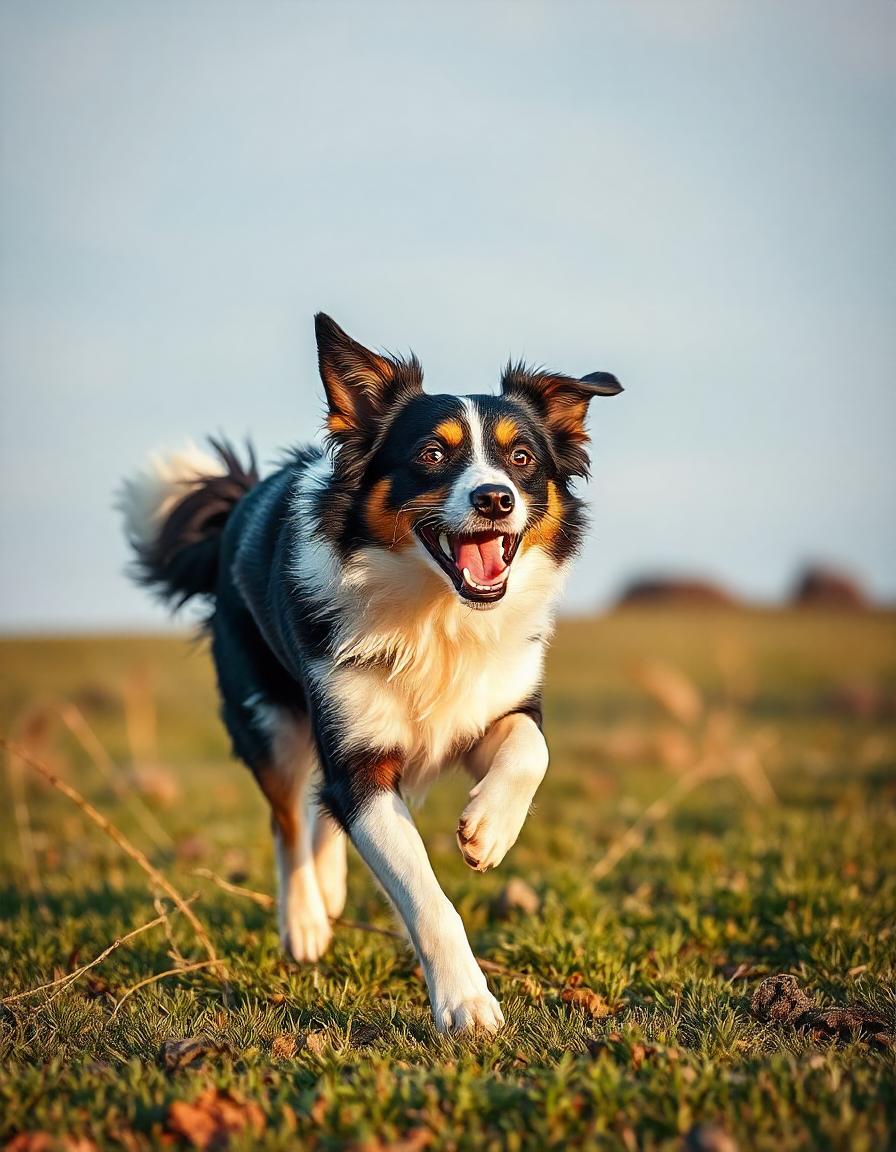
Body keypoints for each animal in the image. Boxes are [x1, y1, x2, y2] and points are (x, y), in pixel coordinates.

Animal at [118, 315, 617, 1036]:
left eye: (522, 458)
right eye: (432, 455)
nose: (495, 498)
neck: (439, 618)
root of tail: (239, 504)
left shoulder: (494, 704)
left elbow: (532, 749)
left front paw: (488, 829)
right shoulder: (359, 765)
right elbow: (423, 892)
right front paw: (466, 1003)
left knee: (316, 808)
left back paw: (330, 890)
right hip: (268, 717)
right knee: (288, 816)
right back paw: (304, 920)